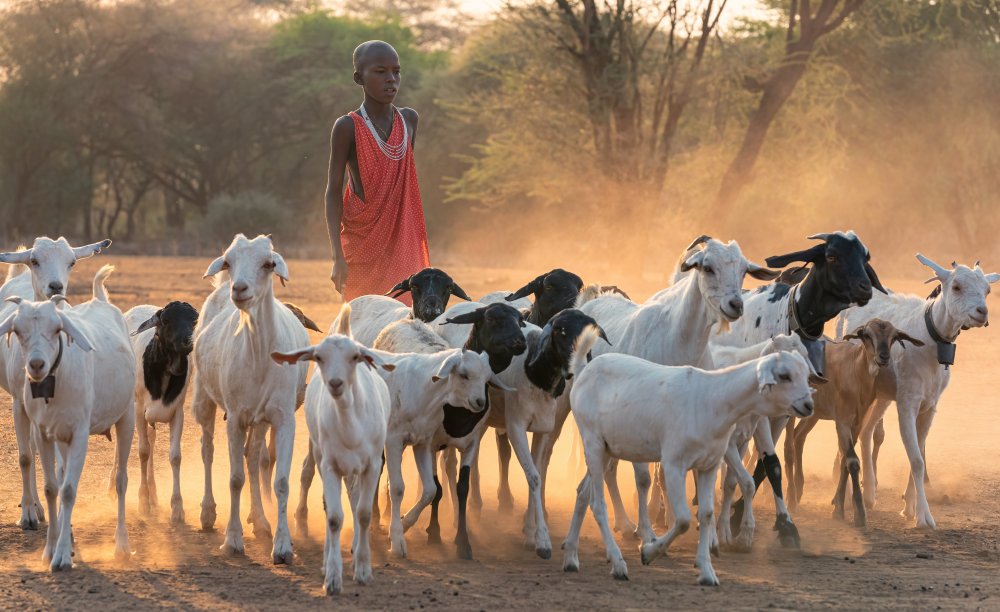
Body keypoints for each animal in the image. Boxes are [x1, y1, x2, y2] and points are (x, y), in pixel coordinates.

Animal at [0, 266, 134, 572]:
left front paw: (62, 556)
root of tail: (100, 299)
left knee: (121, 480)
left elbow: (70, 490)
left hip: (128, 416)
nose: (36, 365)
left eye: (56, 329)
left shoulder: (80, 434)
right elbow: (53, 488)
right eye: (18, 331)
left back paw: (121, 545)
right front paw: (50, 549)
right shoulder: (44, 433)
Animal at [191, 234, 308, 564]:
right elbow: (234, 478)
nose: (239, 289)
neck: (257, 356)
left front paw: (282, 546)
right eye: (229, 262)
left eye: (268, 263)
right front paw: (232, 541)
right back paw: (208, 513)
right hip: (204, 398)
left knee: (254, 457)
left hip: (261, 418)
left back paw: (260, 520)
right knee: (207, 449)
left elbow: (280, 481)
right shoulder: (235, 416)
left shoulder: (283, 417)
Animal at [564, 342, 812, 584]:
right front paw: (649, 551)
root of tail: (584, 369)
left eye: (805, 373)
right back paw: (617, 563)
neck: (713, 398)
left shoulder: (709, 465)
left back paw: (571, 557)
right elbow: (683, 519)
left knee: (582, 493)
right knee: (598, 504)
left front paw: (706, 571)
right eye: (784, 375)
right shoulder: (674, 464)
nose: (809, 404)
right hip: (592, 441)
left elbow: (706, 513)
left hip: (607, 449)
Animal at [836, 253, 1000, 524]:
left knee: (867, 431)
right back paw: (848, 495)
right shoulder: (907, 402)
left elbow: (920, 455)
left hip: (881, 395)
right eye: (956, 287)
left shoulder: (929, 406)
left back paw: (869, 494)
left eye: (987, 289)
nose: (982, 312)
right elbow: (916, 459)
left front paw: (910, 508)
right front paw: (924, 517)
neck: (930, 341)